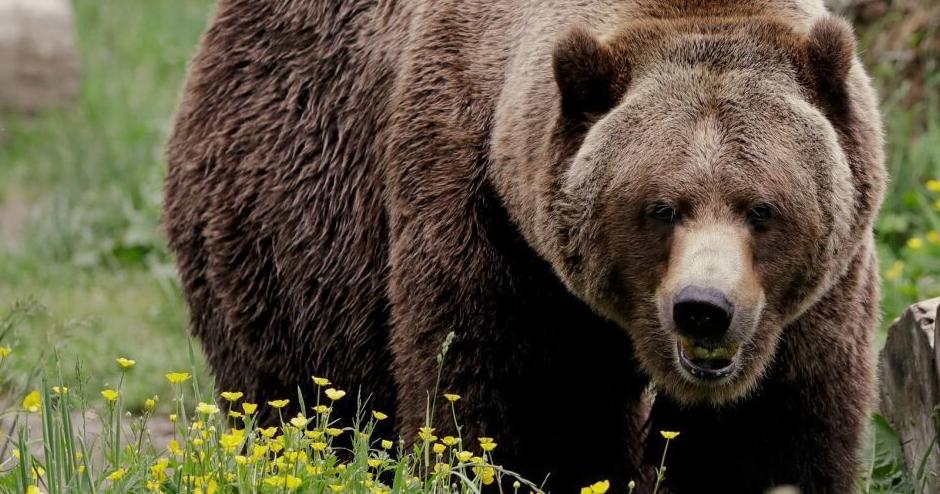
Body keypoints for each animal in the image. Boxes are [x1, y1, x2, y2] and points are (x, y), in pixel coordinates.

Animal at [164, 0, 885, 492]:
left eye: (761, 208)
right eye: (660, 208)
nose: (704, 308)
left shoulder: (813, 305)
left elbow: (772, 434)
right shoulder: (490, 223)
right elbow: (513, 414)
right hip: (289, 224)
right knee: (300, 394)